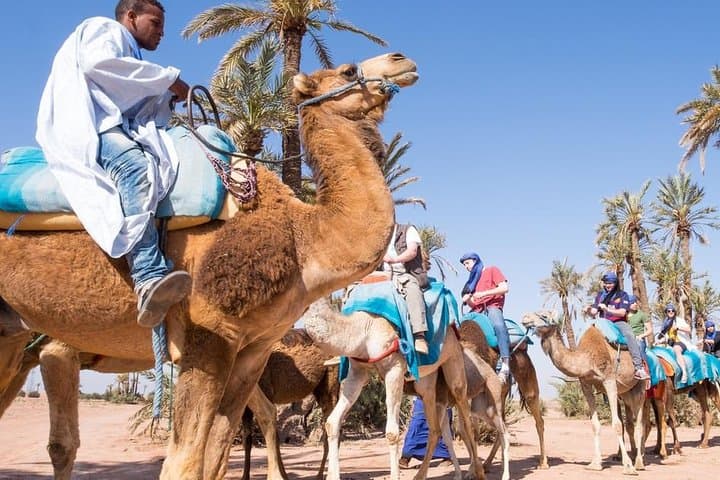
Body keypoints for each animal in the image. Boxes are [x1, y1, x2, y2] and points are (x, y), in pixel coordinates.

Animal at [0, 52, 418, 480]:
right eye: (348, 70)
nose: (401, 59)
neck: (302, 239)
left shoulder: (252, 350)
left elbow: (216, 451)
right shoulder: (207, 335)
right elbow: (182, 460)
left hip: (11, 335)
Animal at [302, 295, 489, 480]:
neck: (364, 330)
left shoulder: (395, 369)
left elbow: (392, 433)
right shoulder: (357, 372)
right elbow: (332, 422)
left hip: (454, 363)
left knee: (467, 422)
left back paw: (478, 472)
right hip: (427, 384)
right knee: (435, 428)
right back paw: (422, 475)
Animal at [522, 311, 647, 475]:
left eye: (543, 315)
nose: (525, 319)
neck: (586, 359)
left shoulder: (609, 381)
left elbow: (617, 425)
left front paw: (628, 466)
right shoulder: (586, 384)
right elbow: (594, 424)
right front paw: (595, 463)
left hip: (641, 387)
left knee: (639, 422)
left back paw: (638, 462)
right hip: (626, 391)